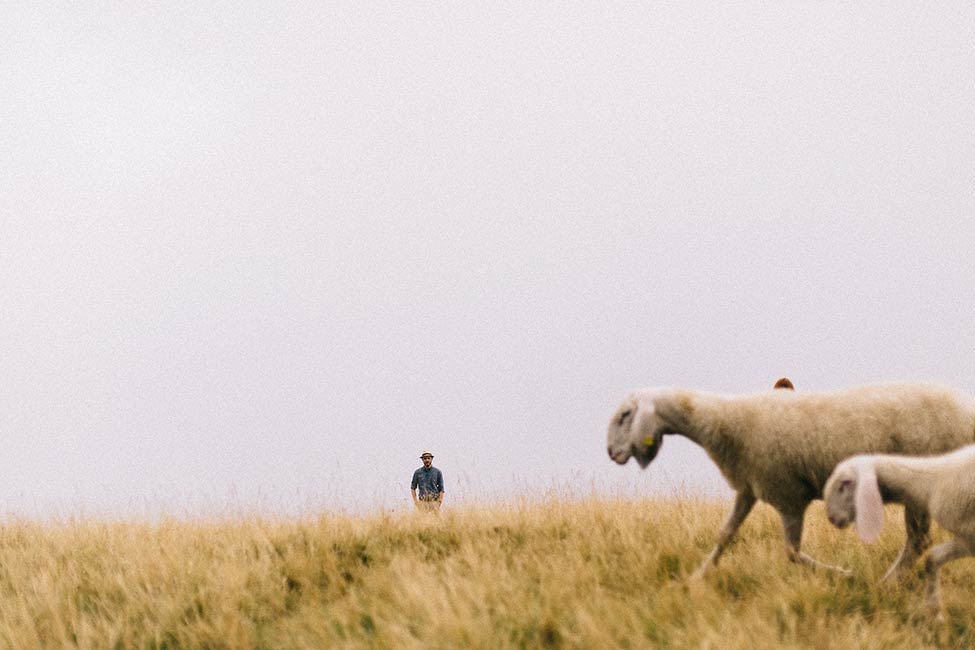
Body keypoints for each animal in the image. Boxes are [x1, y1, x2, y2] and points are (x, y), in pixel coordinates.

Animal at [608, 380, 975, 576]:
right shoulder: (749, 488)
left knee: (918, 541)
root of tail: (967, 410)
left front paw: (843, 575)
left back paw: (889, 583)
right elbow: (725, 535)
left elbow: (792, 553)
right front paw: (697, 577)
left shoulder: (788, 497)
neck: (727, 423)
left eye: (626, 415)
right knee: (918, 541)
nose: (611, 453)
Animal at [824, 442, 975, 616]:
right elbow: (932, 558)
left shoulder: (970, 537)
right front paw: (933, 611)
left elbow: (933, 557)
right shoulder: (966, 538)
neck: (930, 483)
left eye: (844, 483)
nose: (831, 517)